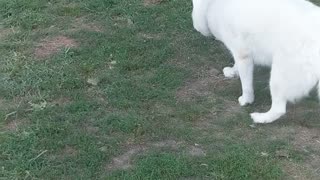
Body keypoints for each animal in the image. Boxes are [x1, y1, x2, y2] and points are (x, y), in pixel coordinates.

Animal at [191, 0, 320, 123]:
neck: (213, 4)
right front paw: (232, 71)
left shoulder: (243, 54)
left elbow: (246, 85)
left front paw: (246, 101)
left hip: (278, 77)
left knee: (279, 109)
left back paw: (260, 118)